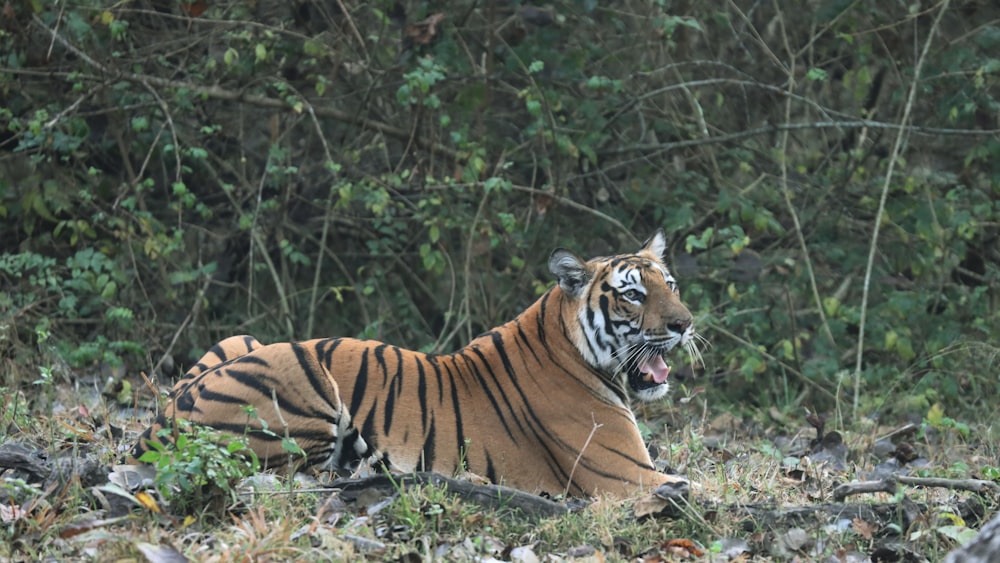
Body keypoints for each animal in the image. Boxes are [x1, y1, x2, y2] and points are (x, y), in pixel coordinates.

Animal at [131, 231, 696, 500]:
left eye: (671, 284)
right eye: (632, 294)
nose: (685, 324)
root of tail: (159, 421)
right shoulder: (625, 474)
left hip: (239, 337)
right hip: (300, 371)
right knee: (303, 474)